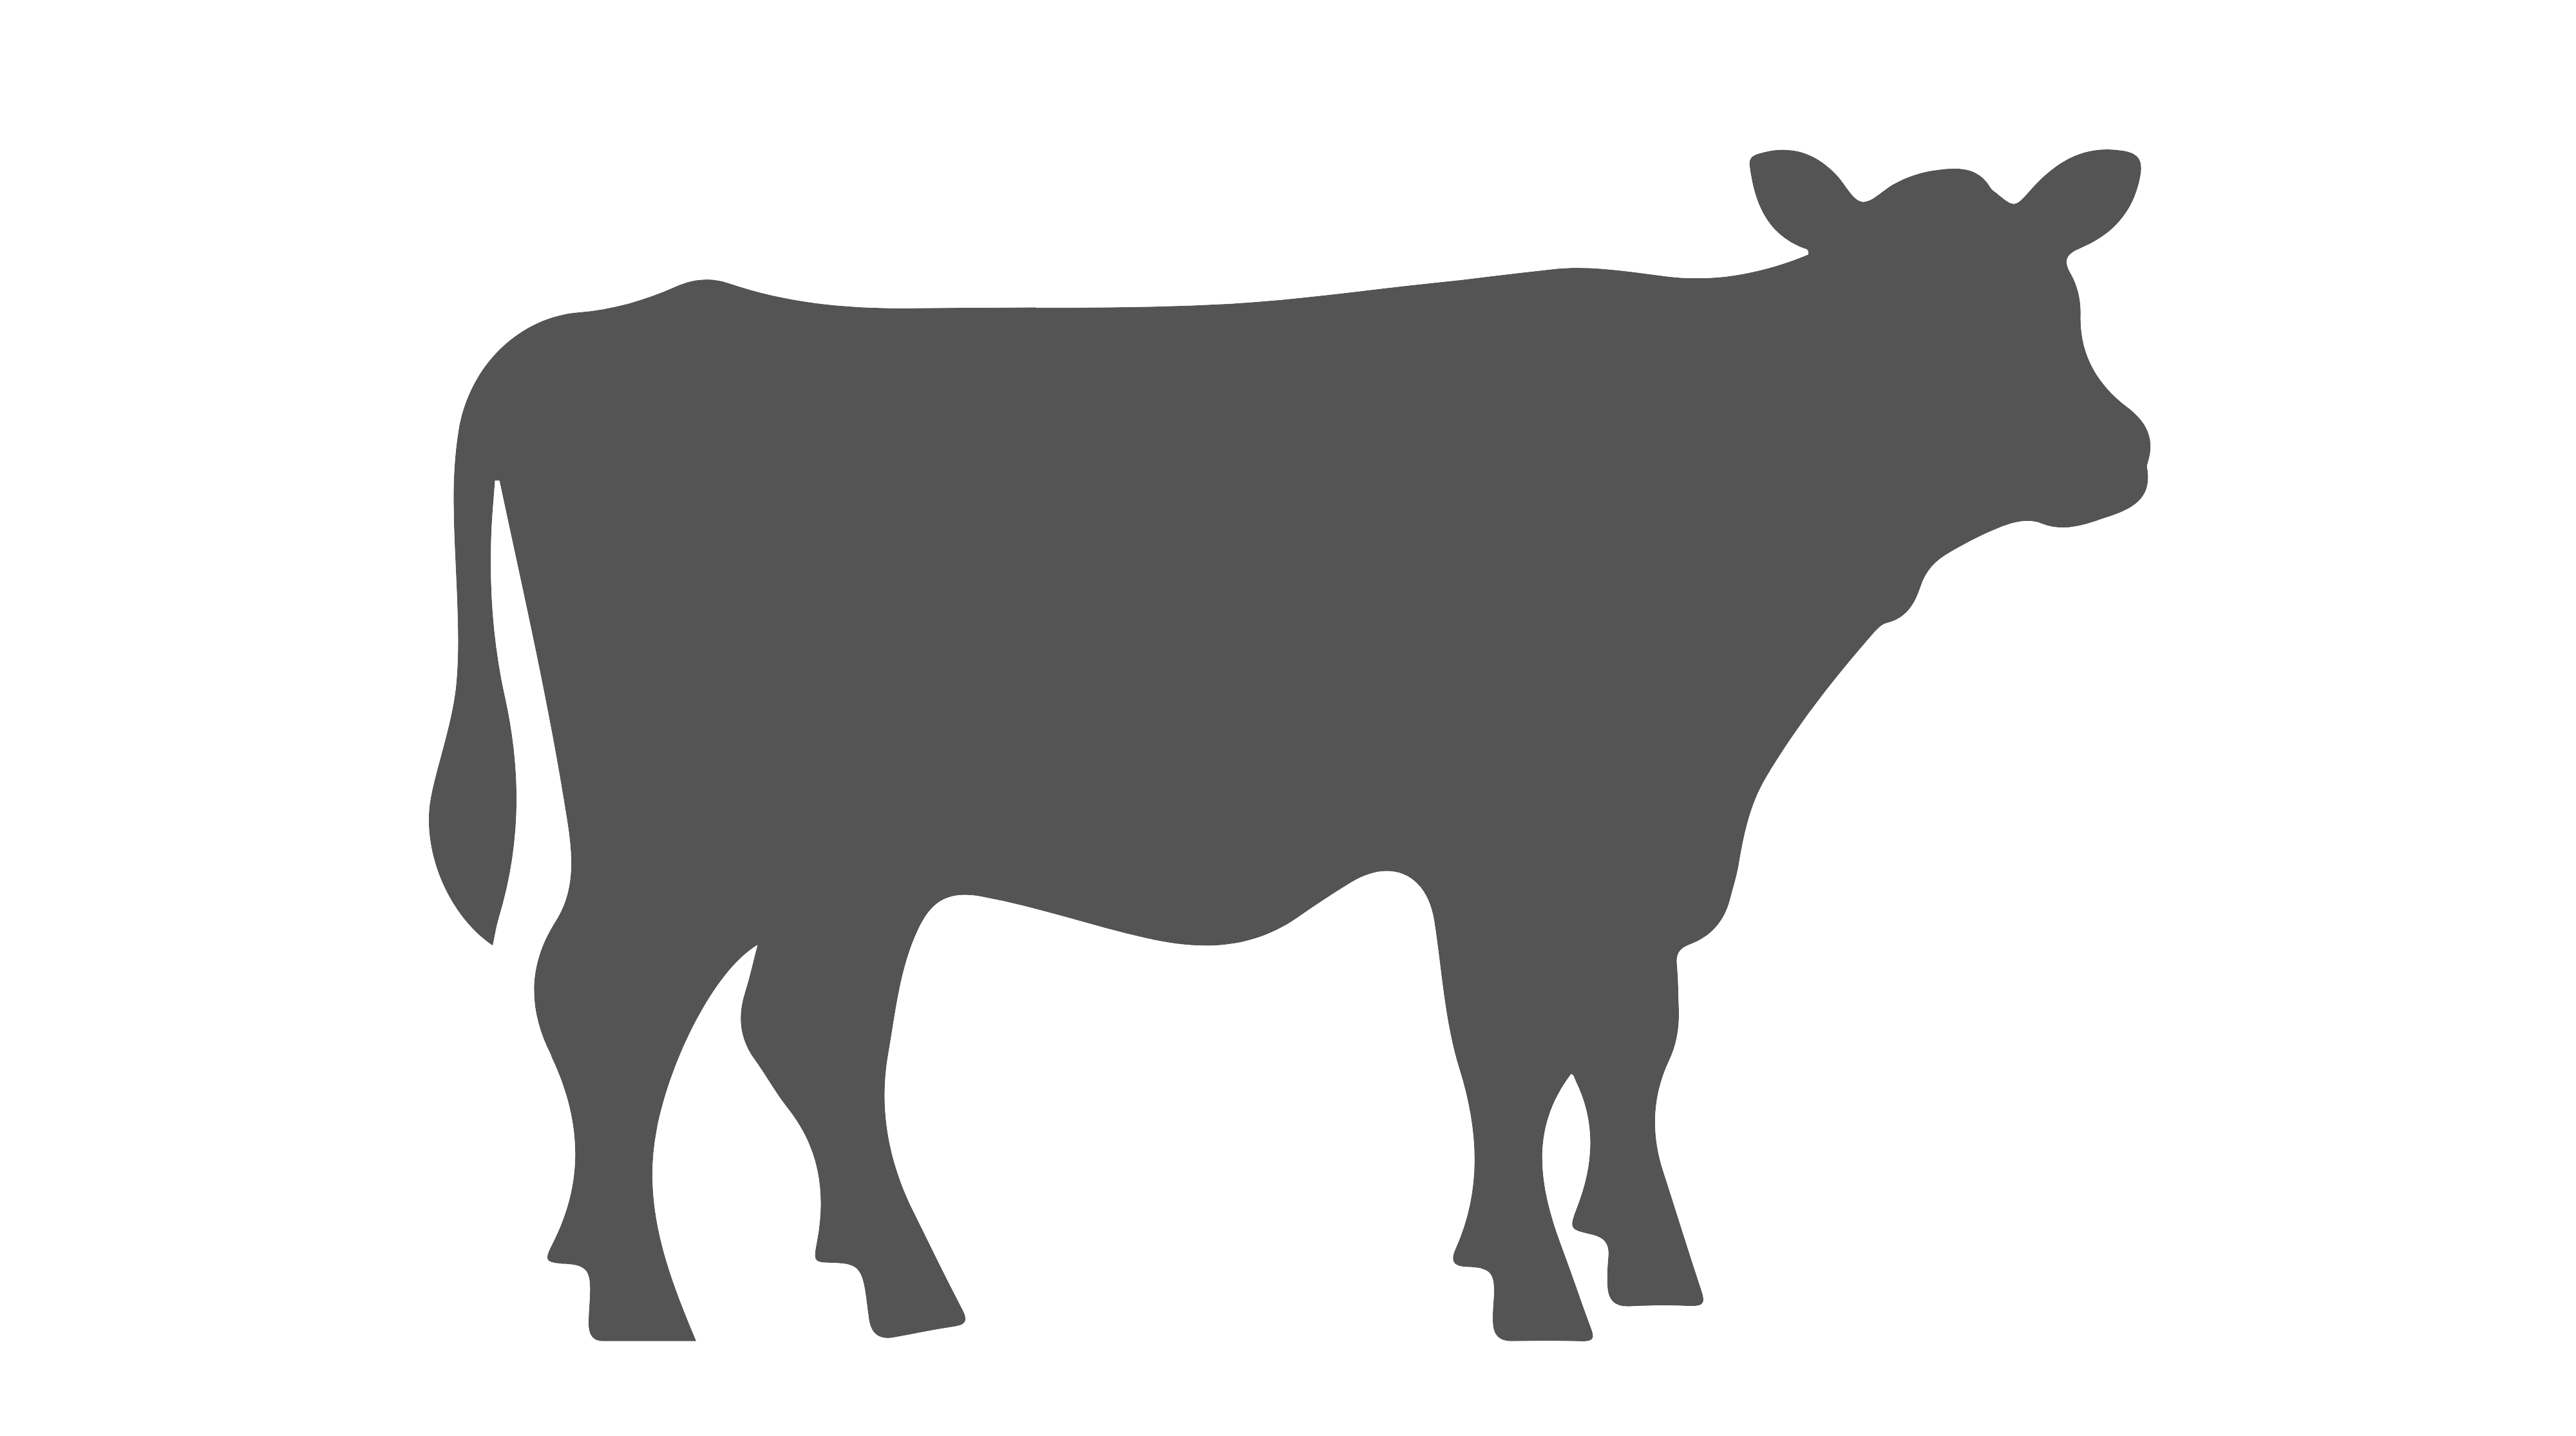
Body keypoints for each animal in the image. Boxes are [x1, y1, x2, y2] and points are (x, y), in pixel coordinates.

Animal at [430, 150, 2148, 1342]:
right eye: (1912, 315)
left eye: (2054, 295)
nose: (2120, 452)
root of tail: (603, 330)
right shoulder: (1500, 846)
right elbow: (1513, 1047)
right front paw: (1535, 1286)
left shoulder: (1643, 839)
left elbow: (1627, 1039)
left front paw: (1645, 1260)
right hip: (687, 821)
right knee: (607, 997)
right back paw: (641, 1298)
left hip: (849, 855)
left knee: (807, 1030)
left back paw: (889, 1281)